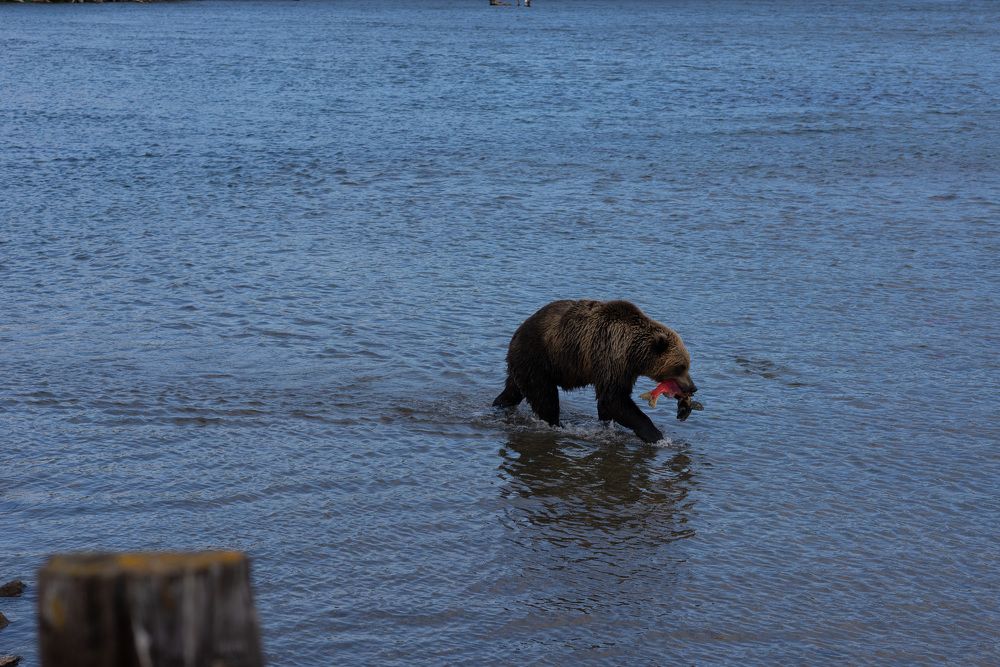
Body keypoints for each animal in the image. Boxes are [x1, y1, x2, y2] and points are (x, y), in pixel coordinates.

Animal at [492, 299, 696, 443]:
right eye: (681, 366)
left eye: (688, 365)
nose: (693, 388)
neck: (634, 354)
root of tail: (516, 333)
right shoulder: (611, 357)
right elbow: (614, 400)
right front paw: (656, 435)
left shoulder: (626, 371)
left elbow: (610, 404)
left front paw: (684, 408)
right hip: (539, 358)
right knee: (545, 398)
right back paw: (557, 425)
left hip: (525, 366)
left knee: (513, 390)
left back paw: (498, 403)